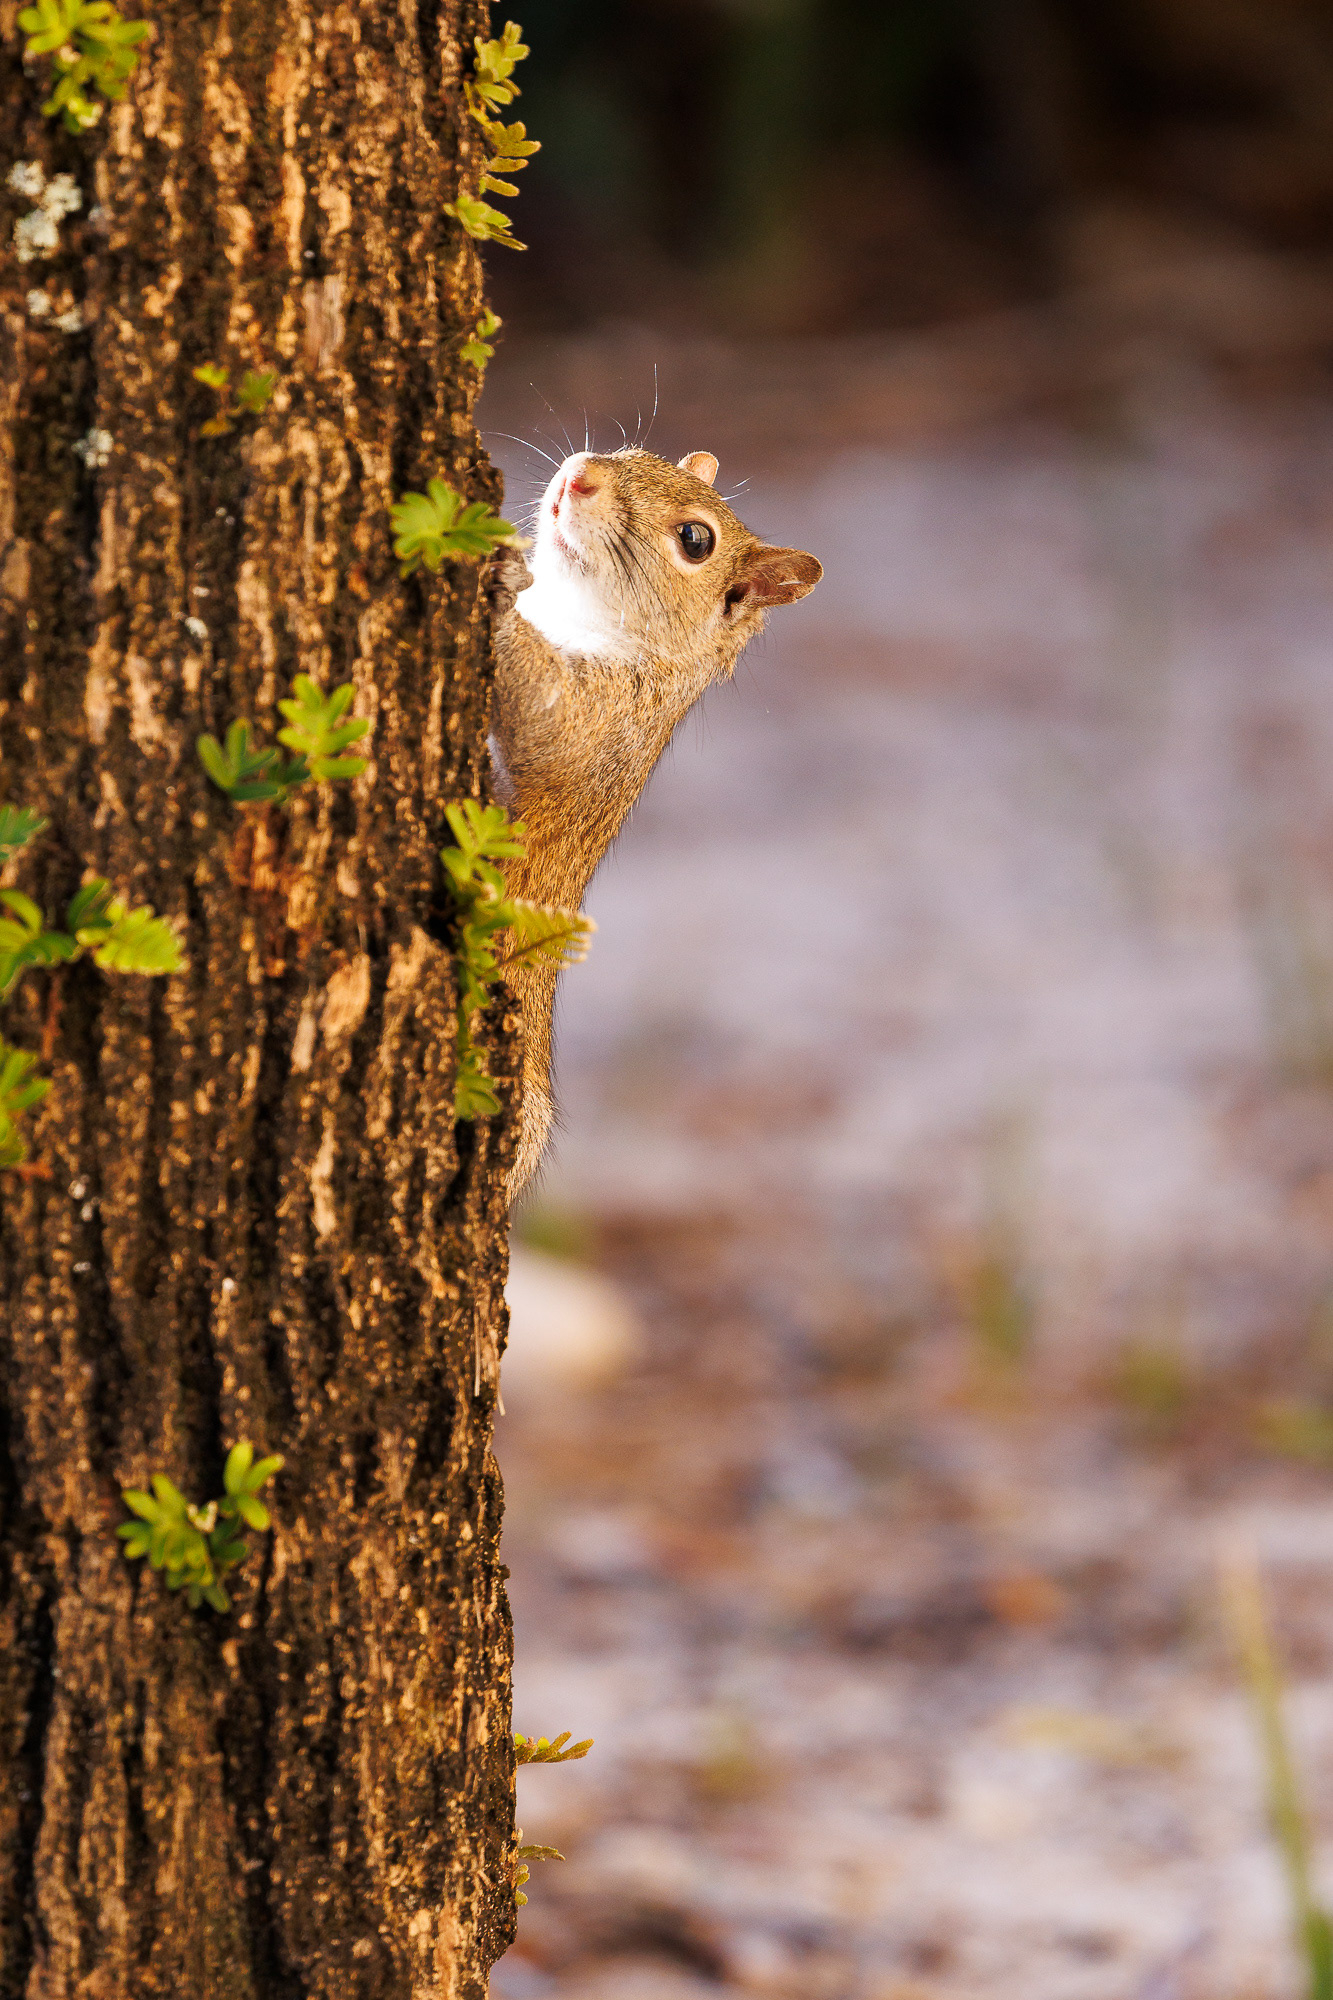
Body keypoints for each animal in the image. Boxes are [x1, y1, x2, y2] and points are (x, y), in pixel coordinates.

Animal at [486, 445, 822, 1196]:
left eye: (695, 540)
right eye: (636, 454)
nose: (580, 473)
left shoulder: (596, 728)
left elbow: (533, 707)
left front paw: (496, 580)